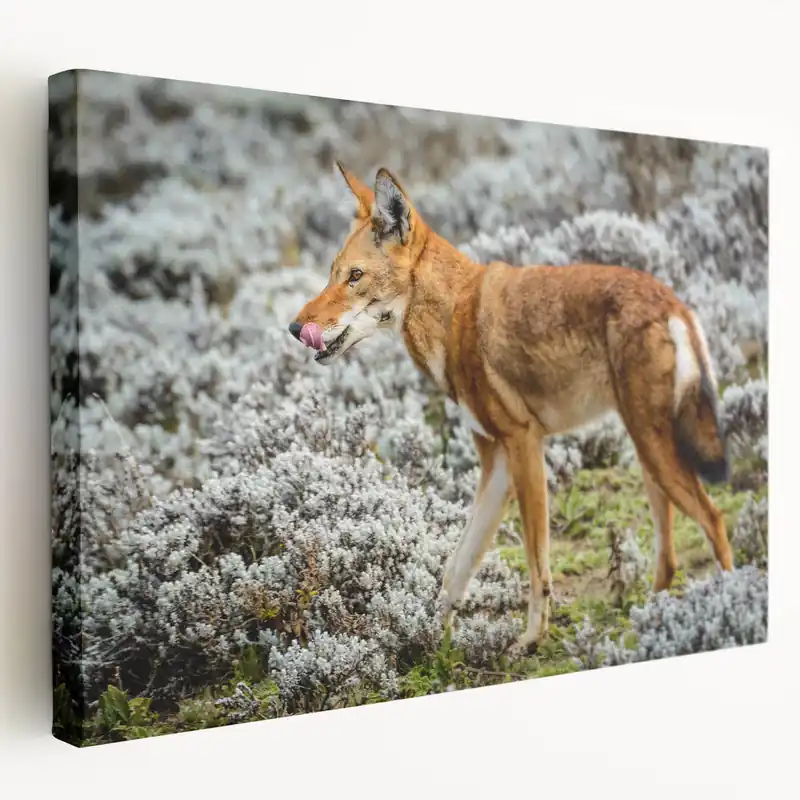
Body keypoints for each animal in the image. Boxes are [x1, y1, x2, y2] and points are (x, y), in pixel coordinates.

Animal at [288, 162, 733, 654]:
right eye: (332, 274)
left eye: (355, 276)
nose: (295, 328)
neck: (453, 317)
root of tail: (672, 301)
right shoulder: (496, 463)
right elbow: (456, 569)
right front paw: (432, 644)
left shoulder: (524, 446)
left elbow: (537, 564)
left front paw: (531, 639)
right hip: (647, 456)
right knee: (669, 556)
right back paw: (649, 624)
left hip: (655, 453)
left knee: (715, 521)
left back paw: (729, 605)